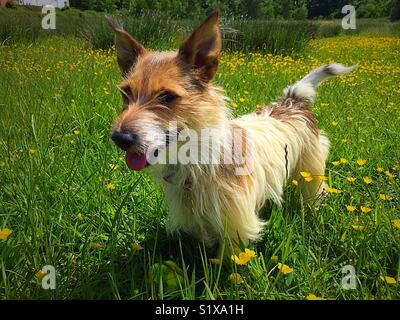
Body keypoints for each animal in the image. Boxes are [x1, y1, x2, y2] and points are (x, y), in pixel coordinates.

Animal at [107, 11, 356, 254]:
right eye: (125, 93)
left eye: (167, 96)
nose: (119, 139)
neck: (197, 160)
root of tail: (293, 101)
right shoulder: (195, 220)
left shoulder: (235, 225)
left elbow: (231, 258)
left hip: (310, 172)